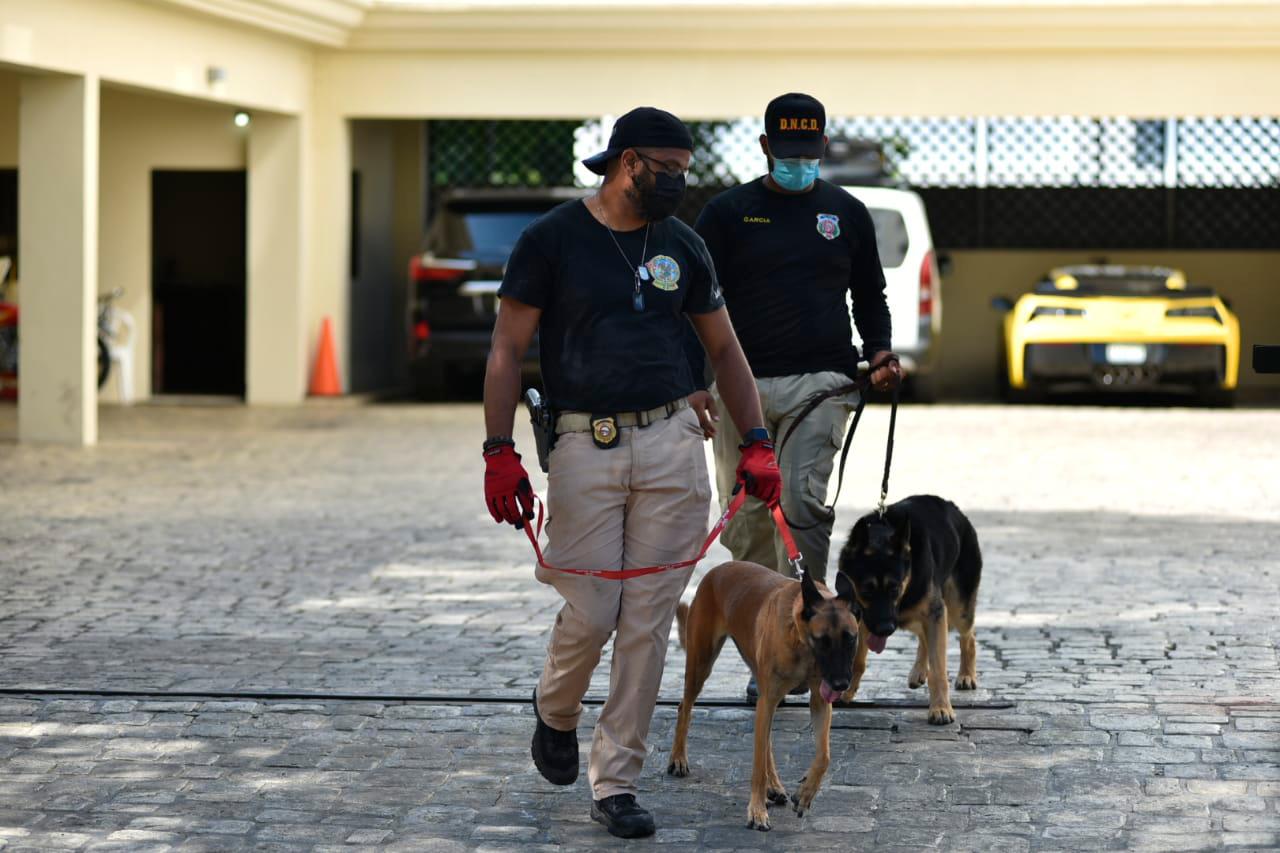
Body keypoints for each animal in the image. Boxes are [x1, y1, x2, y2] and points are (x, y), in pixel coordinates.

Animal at [670, 560, 860, 824]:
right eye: (823, 641)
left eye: (850, 639)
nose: (841, 685)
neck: (800, 639)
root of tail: (720, 568)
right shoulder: (770, 697)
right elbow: (757, 764)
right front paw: (757, 811)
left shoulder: (819, 701)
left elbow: (824, 756)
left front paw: (805, 794)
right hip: (701, 664)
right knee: (684, 707)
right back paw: (678, 758)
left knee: (766, 737)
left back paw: (775, 786)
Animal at [839, 494, 977, 722]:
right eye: (867, 590)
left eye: (894, 589)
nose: (885, 629)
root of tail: (953, 507)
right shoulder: (862, 617)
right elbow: (857, 659)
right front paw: (846, 691)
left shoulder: (934, 613)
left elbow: (938, 670)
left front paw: (941, 708)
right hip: (912, 617)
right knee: (923, 638)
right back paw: (919, 671)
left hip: (958, 611)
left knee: (968, 637)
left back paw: (966, 675)